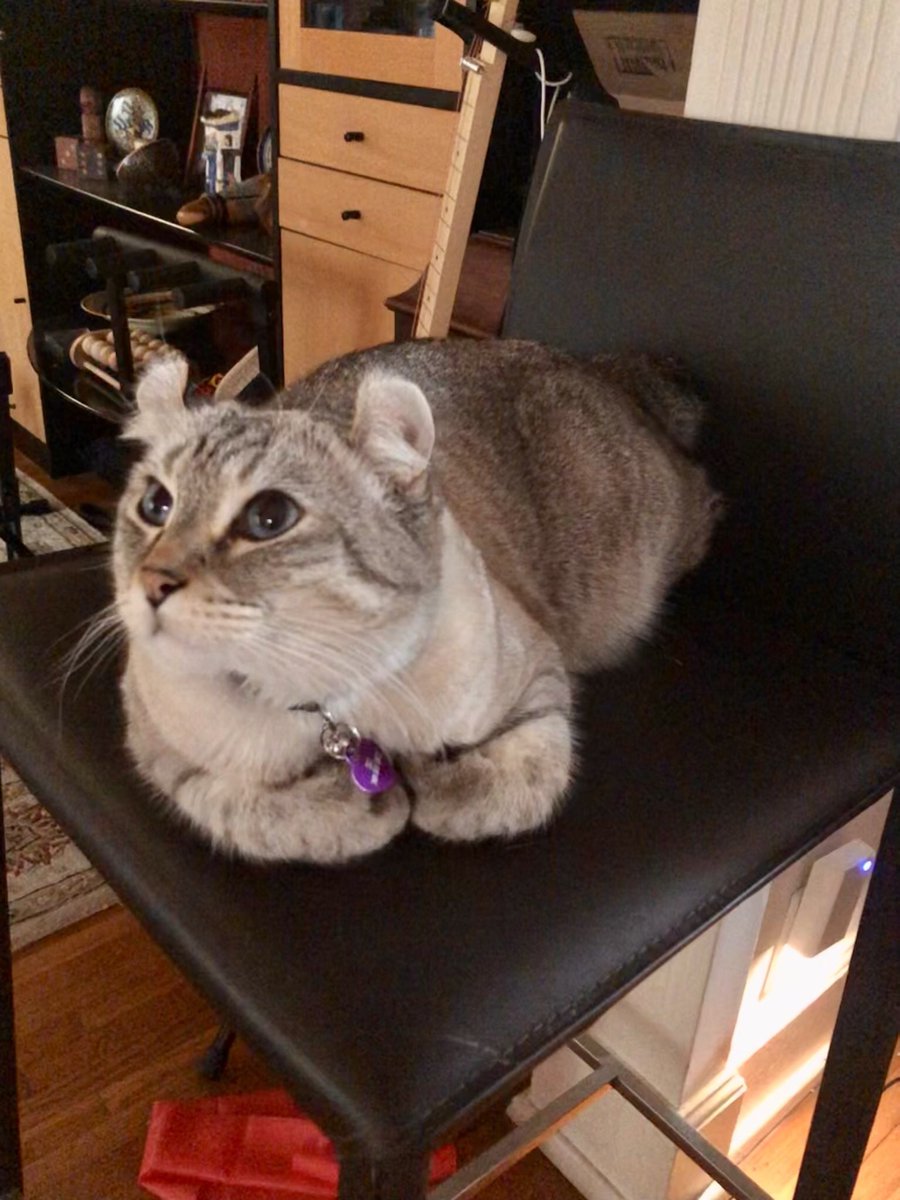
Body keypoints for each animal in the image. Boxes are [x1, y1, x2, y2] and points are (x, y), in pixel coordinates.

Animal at [112, 338, 724, 864]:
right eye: (156, 504)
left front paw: (428, 782)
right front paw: (370, 803)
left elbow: (517, 782)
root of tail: (601, 368)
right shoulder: (162, 755)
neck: (329, 708)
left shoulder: (543, 682)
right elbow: (257, 813)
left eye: (269, 518)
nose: (152, 583)